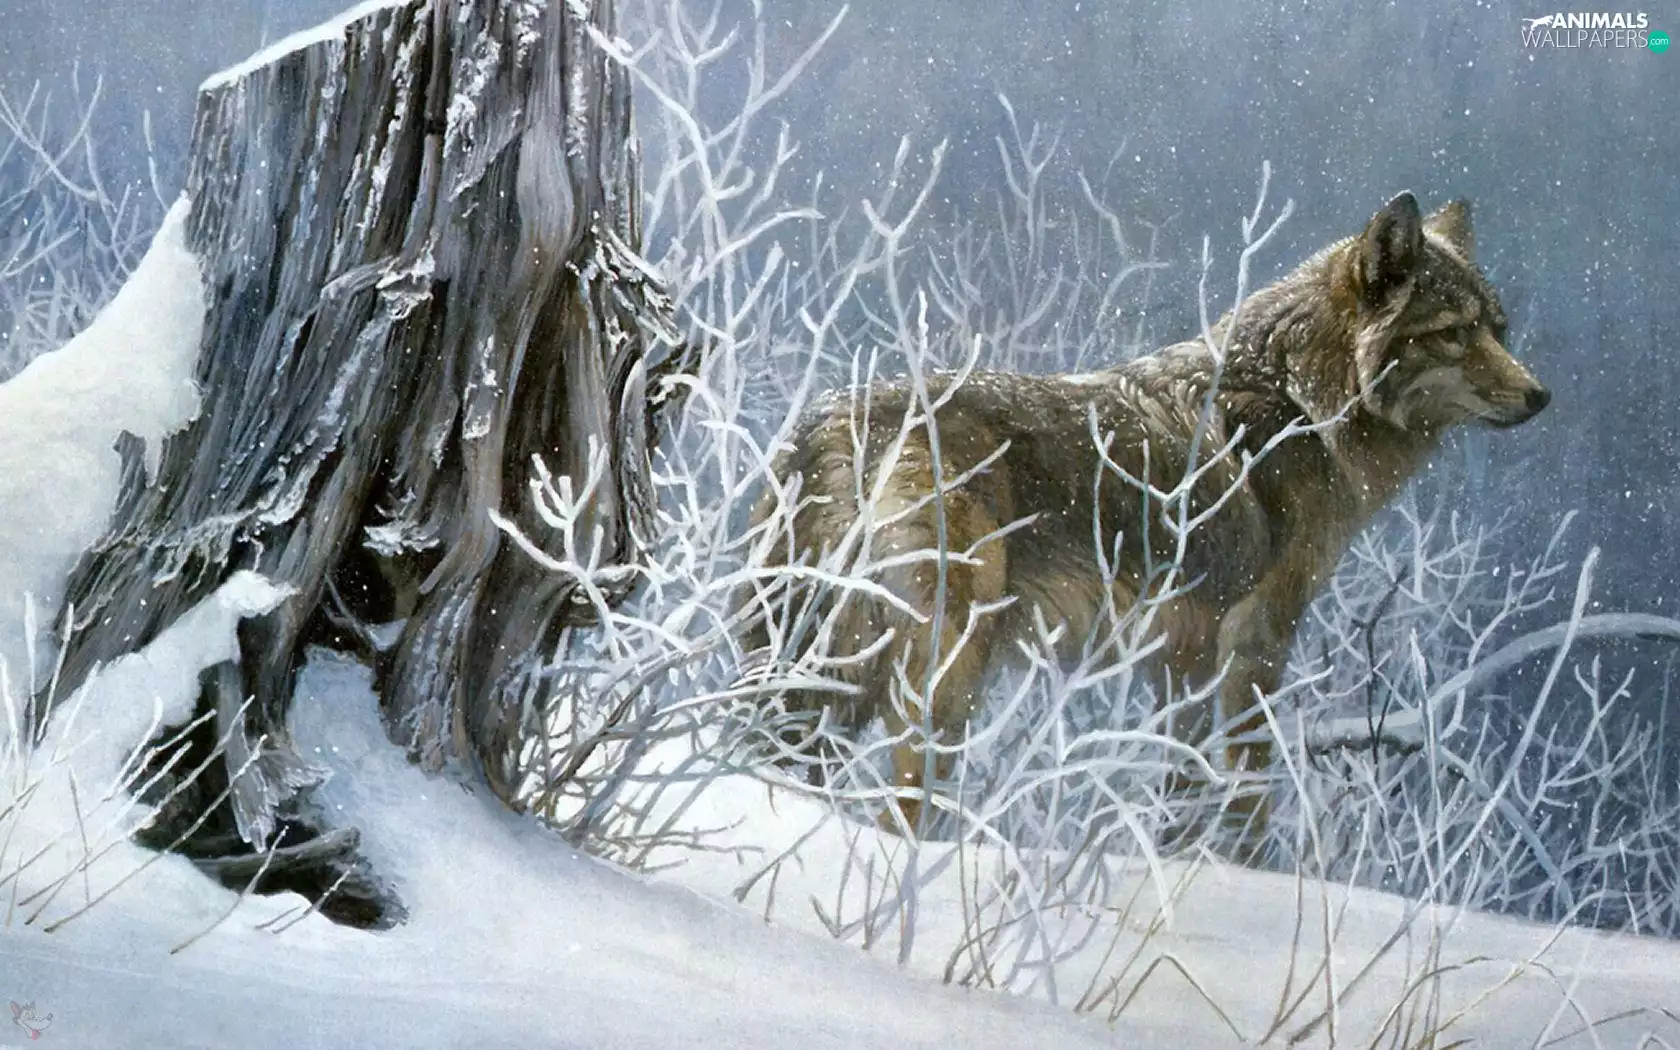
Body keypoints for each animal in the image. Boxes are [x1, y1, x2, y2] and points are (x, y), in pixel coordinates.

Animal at [742, 193, 1549, 841]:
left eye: (1500, 329)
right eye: (1454, 332)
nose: (1541, 396)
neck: (1300, 401)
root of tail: (827, 426)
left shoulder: (1182, 652)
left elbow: (1182, 783)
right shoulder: (1252, 643)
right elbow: (1245, 795)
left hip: (834, 673)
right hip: (940, 674)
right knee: (900, 803)